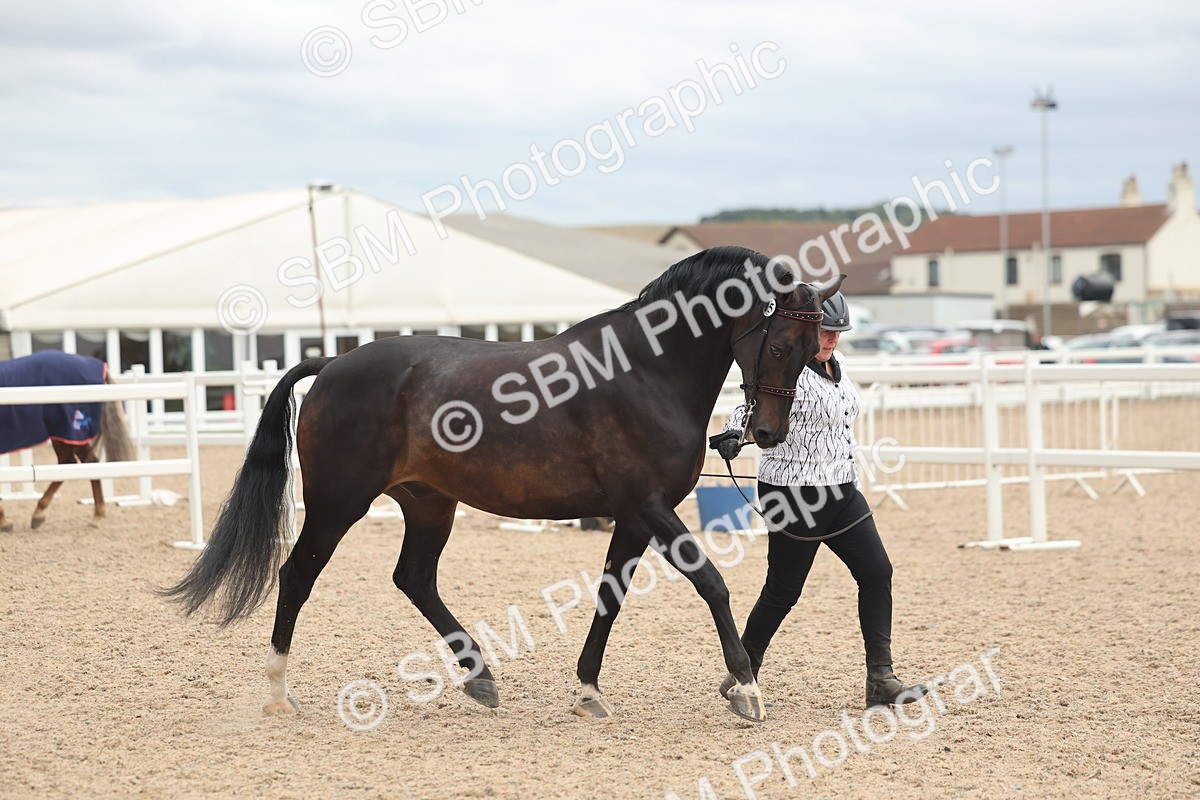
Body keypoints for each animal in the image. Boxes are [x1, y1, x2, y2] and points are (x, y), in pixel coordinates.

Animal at [0, 351, 136, 532]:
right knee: (69, 462)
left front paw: (3, 520)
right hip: (63, 434)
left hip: (69, 432)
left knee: (85, 462)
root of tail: (95, 364)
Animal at [163, 246, 844, 722]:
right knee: (297, 576)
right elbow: (712, 583)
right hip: (338, 504)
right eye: (780, 344)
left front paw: (589, 690)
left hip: (429, 505)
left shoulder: (631, 515)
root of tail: (333, 364)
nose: (769, 431)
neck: (645, 371)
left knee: (413, 578)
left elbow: (610, 596)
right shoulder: (650, 508)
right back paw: (280, 691)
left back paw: (480, 677)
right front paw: (747, 689)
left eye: (812, 347)